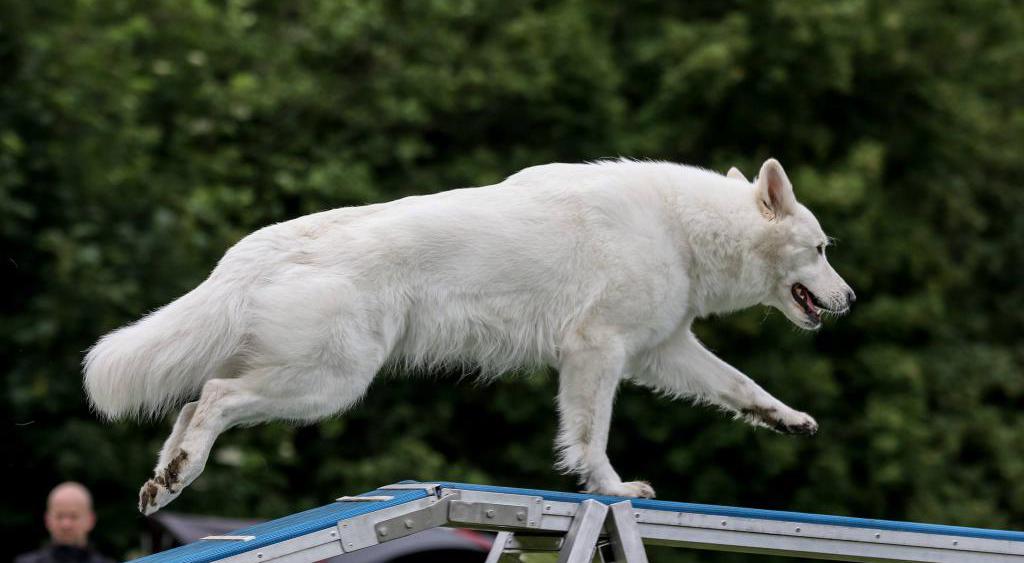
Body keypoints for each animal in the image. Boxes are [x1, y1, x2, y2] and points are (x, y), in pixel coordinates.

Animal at [86, 158, 856, 515]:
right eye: (822, 249)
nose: (849, 300)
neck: (684, 226)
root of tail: (261, 247)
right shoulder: (597, 350)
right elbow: (592, 438)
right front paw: (612, 489)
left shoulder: (659, 350)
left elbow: (742, 386)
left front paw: (788, 419)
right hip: (326, 384)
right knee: (213, 396)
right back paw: (179, 472)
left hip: (308, 380)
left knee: (191, 406)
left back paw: (168, 479)